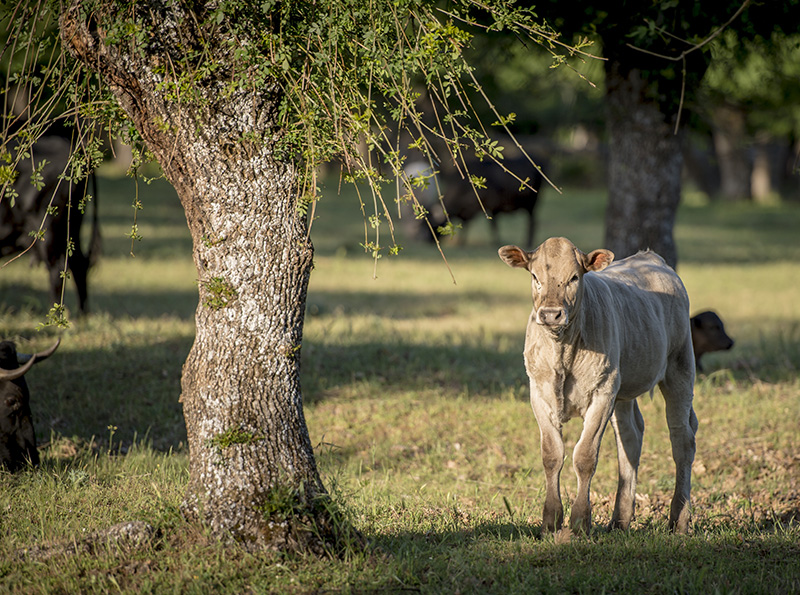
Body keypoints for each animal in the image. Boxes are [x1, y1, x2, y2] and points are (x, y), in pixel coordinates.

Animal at [500, 237, 700, 536]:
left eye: (574, 277)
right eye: (535, 277)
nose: (550, 314)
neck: (562, 350)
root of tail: (650, 258)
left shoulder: (603, 393)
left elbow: (584, 456)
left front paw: (580, 522)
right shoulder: (539, 393)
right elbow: (551, 454)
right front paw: (551, 521)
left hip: (680, 367)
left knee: (682, 439)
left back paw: (679, 519)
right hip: (625, 384)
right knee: (631, 437)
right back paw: (620, 520)